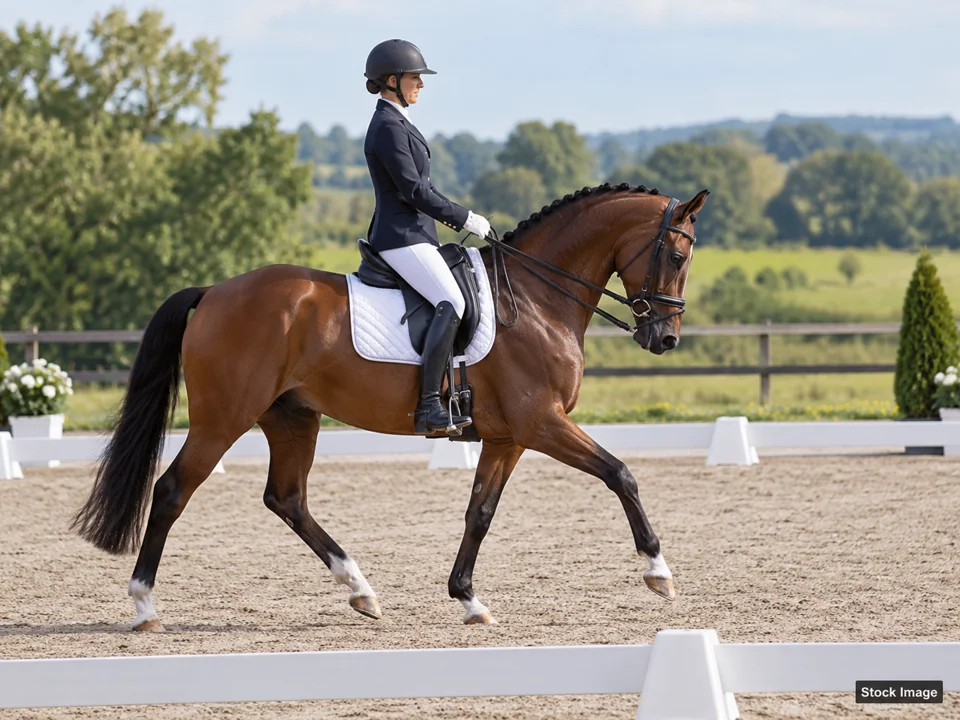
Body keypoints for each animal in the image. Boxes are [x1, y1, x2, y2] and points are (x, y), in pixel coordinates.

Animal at [72, 182, 708, 630]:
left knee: (287, 499)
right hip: (224, 417)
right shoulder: (543, 422)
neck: (534, 299)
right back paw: (144, 606)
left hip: (292, 416)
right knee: (172, 490)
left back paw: (361, 590)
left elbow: (480, 513)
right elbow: (620, 474)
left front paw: (468, 599)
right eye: (678, 256)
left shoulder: (508, 437)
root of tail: (212, 293)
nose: (665, 339)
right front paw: (659, 572)